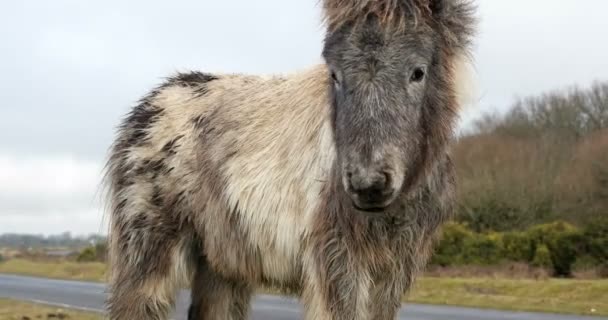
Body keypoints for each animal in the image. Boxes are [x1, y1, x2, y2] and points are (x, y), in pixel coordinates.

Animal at [103, 0, 476, 318]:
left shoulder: (394, 271)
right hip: (149, 256)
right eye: (335, 74)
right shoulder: (337, 264)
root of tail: (151, 103)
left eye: (418, 72)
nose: (368, 185)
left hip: (222, 264)